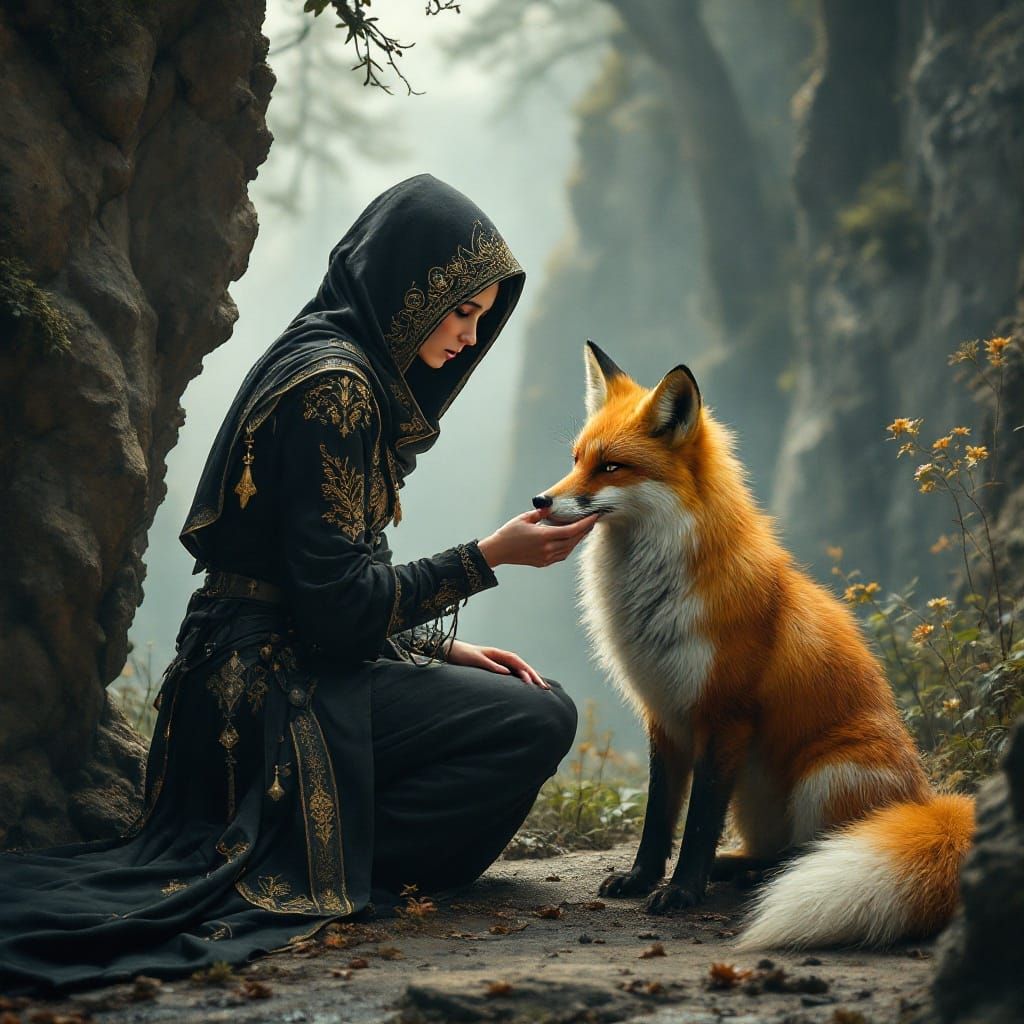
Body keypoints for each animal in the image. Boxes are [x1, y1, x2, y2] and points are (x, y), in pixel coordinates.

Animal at [532, 341, 975, 949]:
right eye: (577, 459)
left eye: (612, 467)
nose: (540, 500)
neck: (655, 597)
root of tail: (926, 799)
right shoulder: (663, 714)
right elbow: (659, 817)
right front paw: (642, 878)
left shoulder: (724, 715)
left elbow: (697, 822)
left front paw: (681, 892)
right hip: (755, 791)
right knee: (769, 849)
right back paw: (736, 866)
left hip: (824, 776)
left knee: (804, 852)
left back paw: (766, 876)